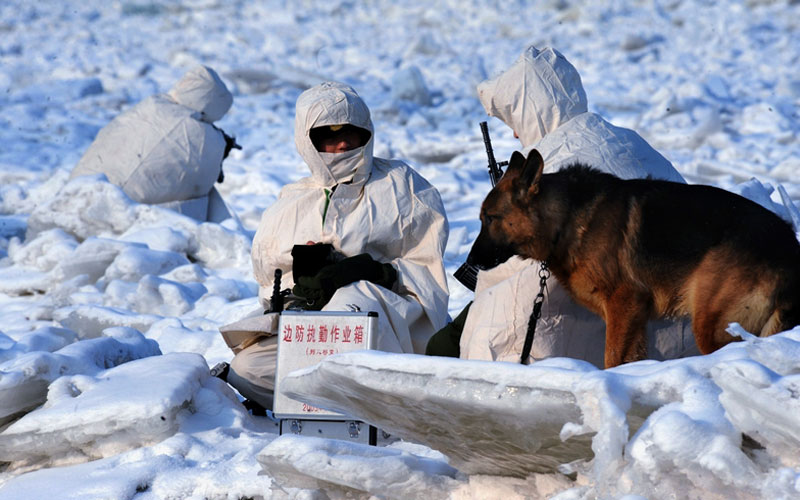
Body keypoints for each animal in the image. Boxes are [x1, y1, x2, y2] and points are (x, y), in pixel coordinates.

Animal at [466, 148, 800, 368]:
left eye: (491, 218)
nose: (471, 263)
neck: (566, 218)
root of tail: (789, 250)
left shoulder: (623, 304)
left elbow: (612, 359)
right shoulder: (634, 319)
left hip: (712, 324)